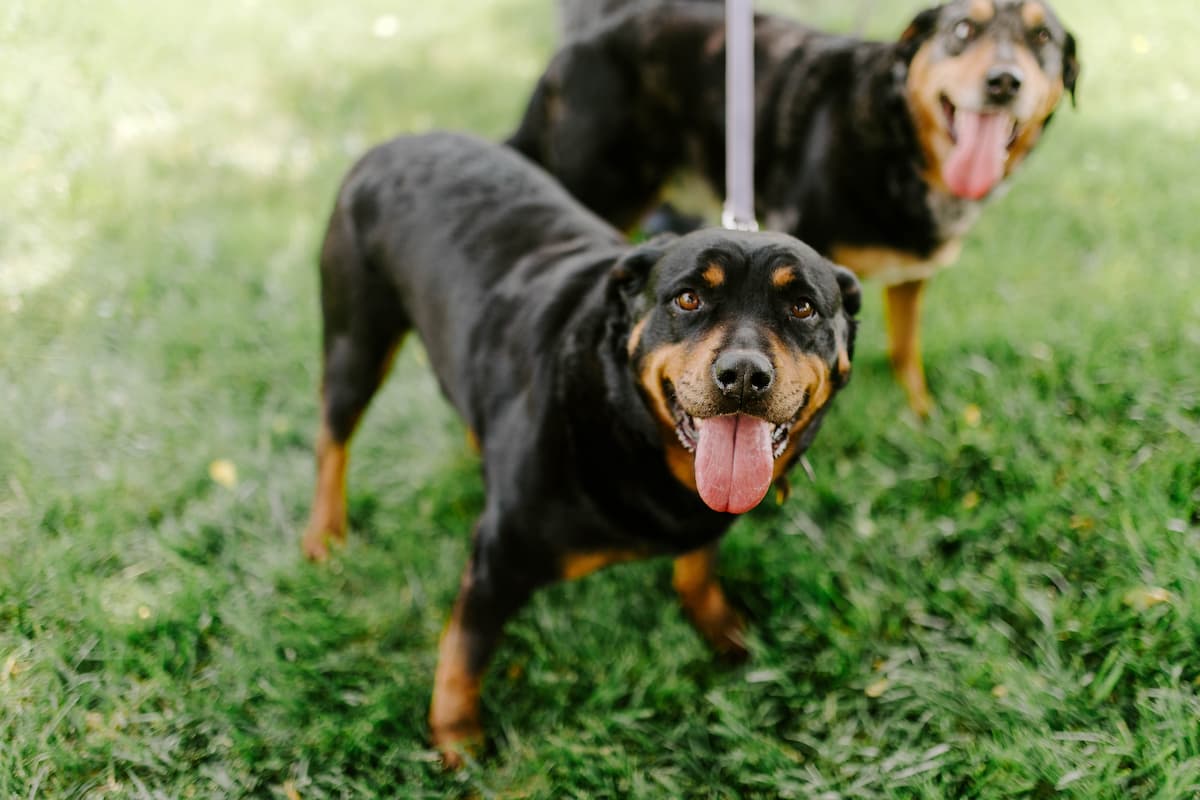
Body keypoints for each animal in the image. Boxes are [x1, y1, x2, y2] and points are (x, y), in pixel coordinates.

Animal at [300, 131, 864, 762]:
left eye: (802, 307)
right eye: (688, 299)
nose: (743, 375)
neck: (629, 428)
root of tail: (393, 142)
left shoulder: (702, 520)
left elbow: (696, 569)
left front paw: (721, 630)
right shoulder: (500, 557)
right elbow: (466, 646)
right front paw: (457, 738)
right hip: (355, 339)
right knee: (332, 437)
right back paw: (324, 532)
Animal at [506, 0, 1080, 417]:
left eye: (1042, 40)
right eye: (963, 29)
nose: (1004, 82)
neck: (901, 144)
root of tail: (571, 52)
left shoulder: (911, 276)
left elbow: (904, 351)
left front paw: (922, 418)